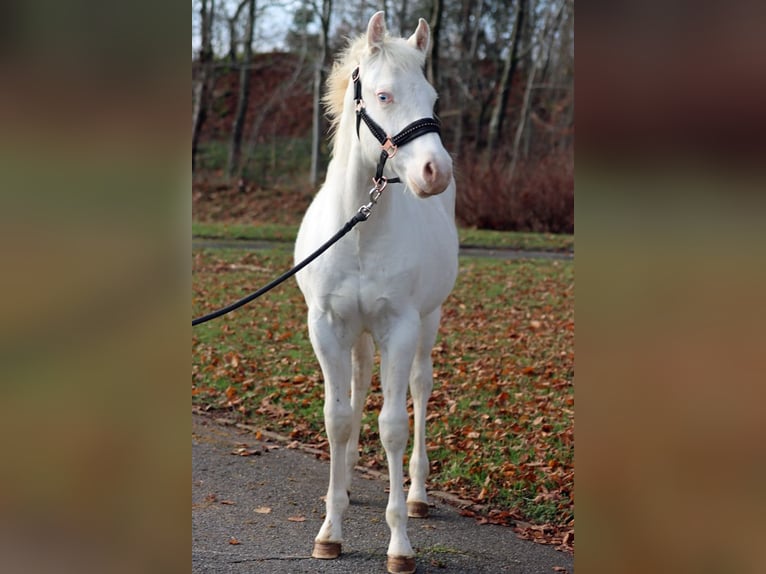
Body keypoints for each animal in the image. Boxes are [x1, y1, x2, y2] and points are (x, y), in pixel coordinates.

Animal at [294, 12, 458, 574]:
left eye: (432, 98)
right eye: (383, 95)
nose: (436, 172)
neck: (360, 230)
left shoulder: (400, 327)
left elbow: (392, 426)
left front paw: (399, 543)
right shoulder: (327, 328)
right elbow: (338, 418)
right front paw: (330, 528)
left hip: (427, 324)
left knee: (420, 389)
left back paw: (418, 494)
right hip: (360, 336)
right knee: (360, 386)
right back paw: (345, 484)